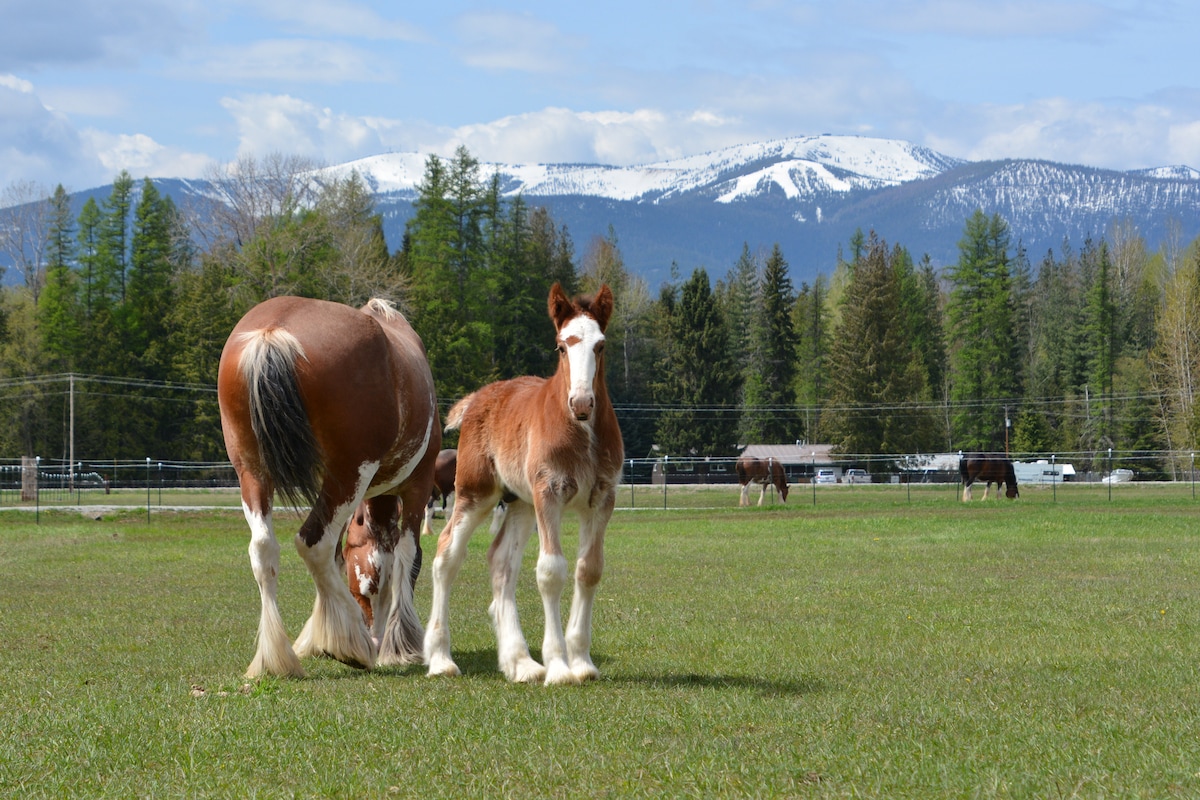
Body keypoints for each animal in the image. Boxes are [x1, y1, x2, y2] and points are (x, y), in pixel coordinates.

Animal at [218, 297, 439, 681]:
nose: (374, 629)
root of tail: (272, 331)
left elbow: (354, 557)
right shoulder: (416, 487)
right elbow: (404, 556)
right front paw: (400, 644)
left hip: (254, 472)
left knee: (264, 549)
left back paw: (278, 658)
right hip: (350, 473)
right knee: (314, 543)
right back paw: (354, 644)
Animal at [424, 284, 628, 686]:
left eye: (600, 345)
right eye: (562, 346)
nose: (582, 402)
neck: (583, 433)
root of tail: (478, 398)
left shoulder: (601, 498)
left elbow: (589, 570)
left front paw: (582, 662)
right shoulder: (549, 492)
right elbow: (551, 571)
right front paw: (560, 667)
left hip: (519, 501)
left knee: (501, 560)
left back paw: (520, 662)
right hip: (476, 493)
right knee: (446, 554)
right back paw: (440, 658)